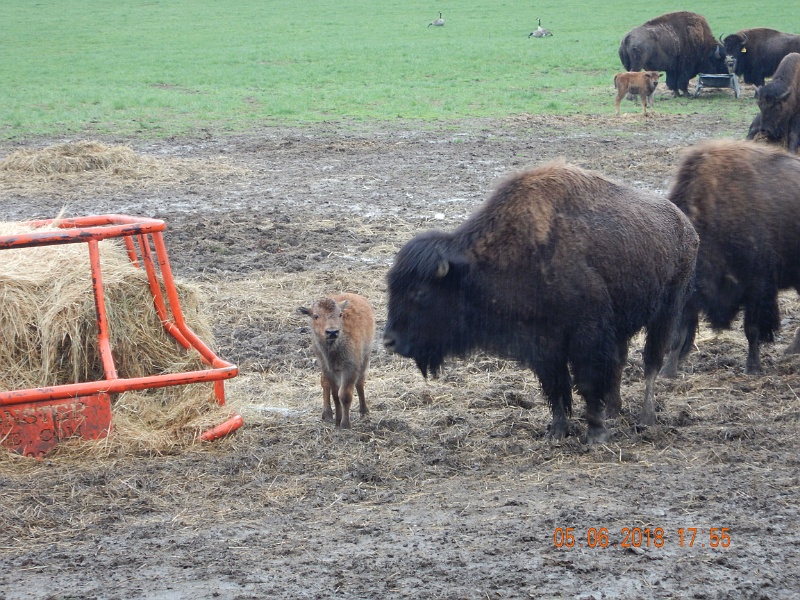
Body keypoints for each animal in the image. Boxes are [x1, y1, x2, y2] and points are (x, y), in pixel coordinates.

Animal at [383, 162, 699, 444]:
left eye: (419, 293)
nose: (389, 341)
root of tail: (685, 225)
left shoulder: (587, 335)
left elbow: (587, 382)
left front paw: (595, 435)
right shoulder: (544, 343)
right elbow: (555, 386)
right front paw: (556, 432)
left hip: (667, 310)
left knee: (651, 362)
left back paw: (646, 419)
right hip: (624, 323)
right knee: (620, 363)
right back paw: (613, 410)